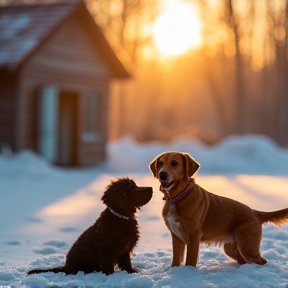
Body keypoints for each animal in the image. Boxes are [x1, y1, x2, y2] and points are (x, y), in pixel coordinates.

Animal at [150, 152, 288, 266]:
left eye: (175, 163)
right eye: (160, 163)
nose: (162, 174)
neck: (178, 198)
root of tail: (255, 212)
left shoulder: (194, 235)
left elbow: (190, 260)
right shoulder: (176, 236)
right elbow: (176, 259)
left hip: (247, 245)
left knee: (261, 261)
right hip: (232, 248)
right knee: (243, 261)